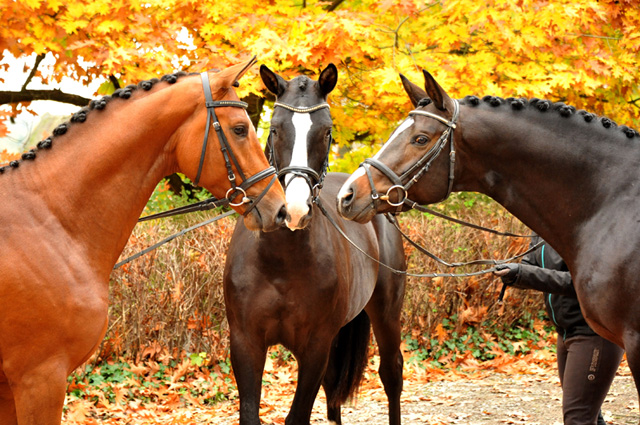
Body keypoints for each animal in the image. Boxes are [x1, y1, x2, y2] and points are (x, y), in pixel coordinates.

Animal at [222, 63, 408, 424]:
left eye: (326, 132)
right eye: (275, 130)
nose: (294, 210)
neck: (280, 263)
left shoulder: (315, 345)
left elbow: (297, 417)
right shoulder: (245, 343)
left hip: (386, 313)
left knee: (391, 374)